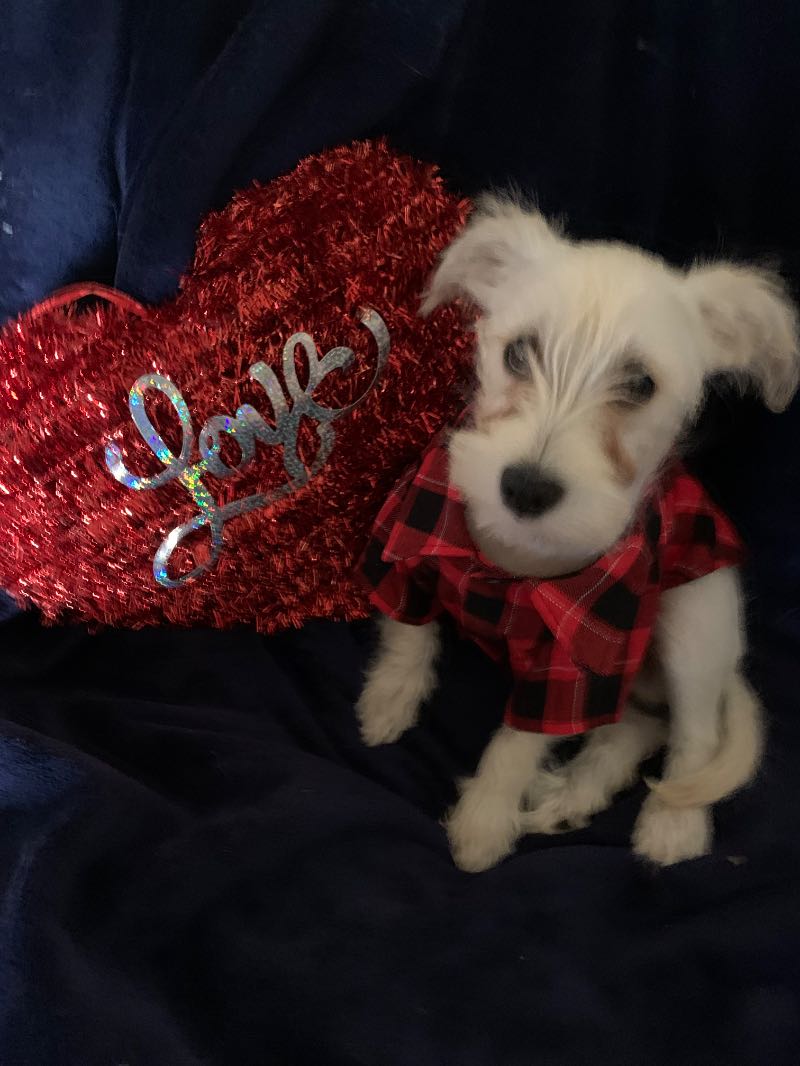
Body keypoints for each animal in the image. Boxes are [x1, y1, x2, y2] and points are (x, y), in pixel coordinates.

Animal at [356, 196, 800, 873]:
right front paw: (389, 698)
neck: (512, 563)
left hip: (695, 619)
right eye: (518, 353)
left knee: (692, 733)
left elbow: (516, 743)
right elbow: (409, 631)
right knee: (639, 725)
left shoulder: (571, 662)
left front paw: (482, 822)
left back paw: (670, 822)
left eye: (641, 385)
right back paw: (572, 796)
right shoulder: (413, 542)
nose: (525, 488)